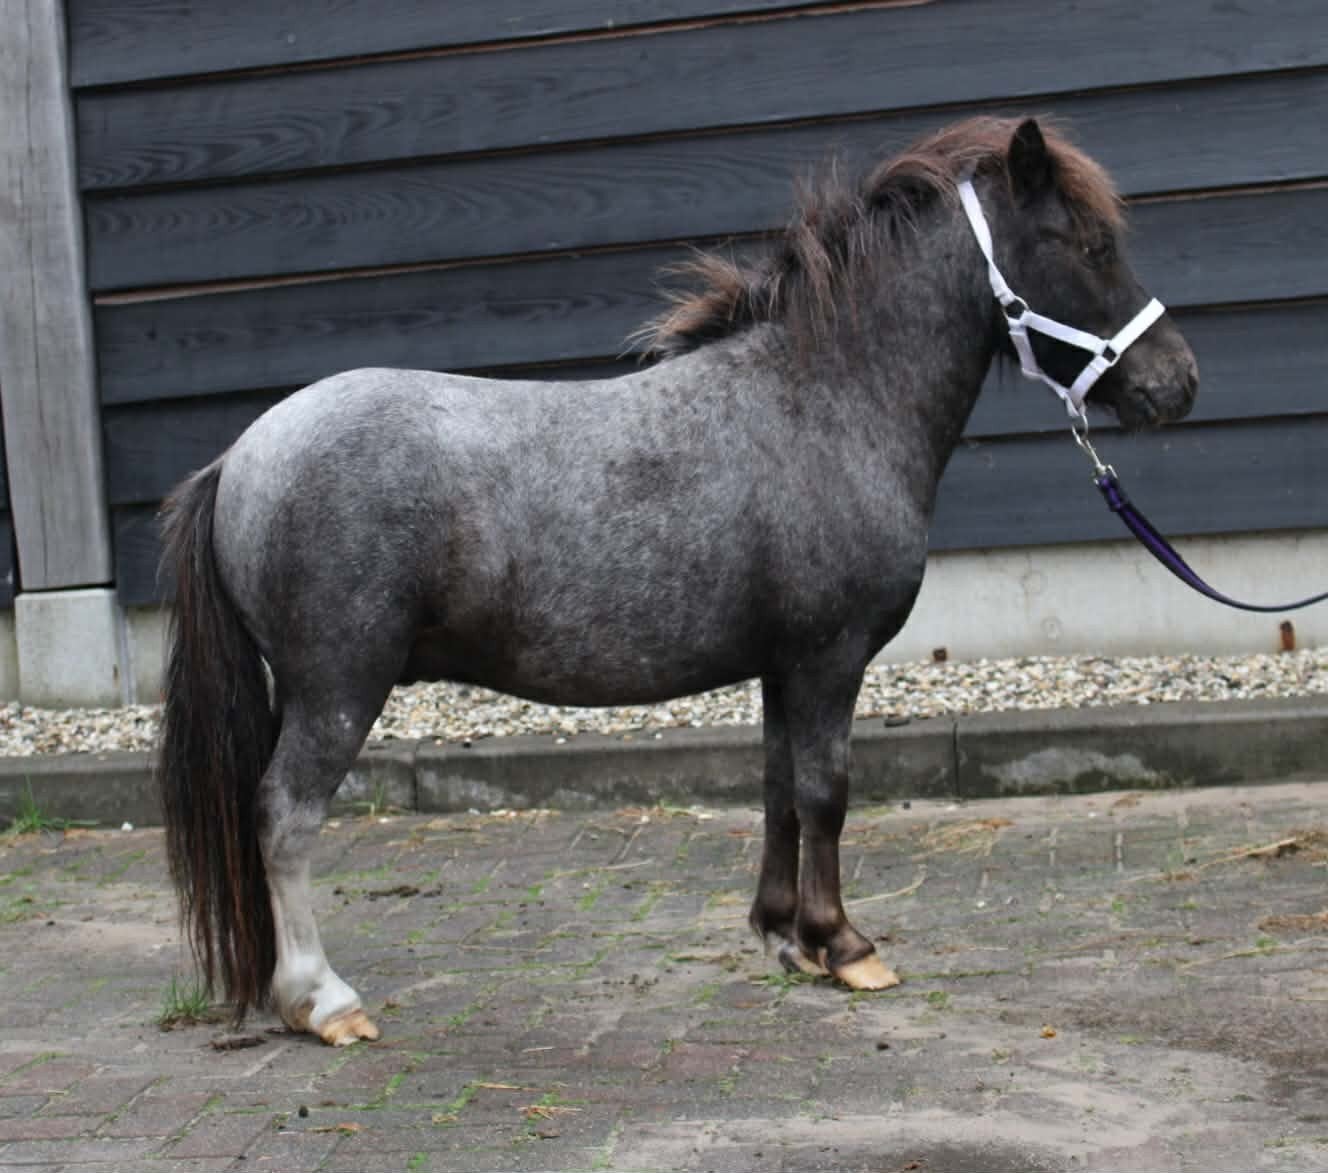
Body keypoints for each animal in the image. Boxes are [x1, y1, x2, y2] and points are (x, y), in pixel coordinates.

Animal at [158, 116, 1198, 1046]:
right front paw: (846, 945)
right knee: (284, 817)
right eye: (1090, 244)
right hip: (339, 688)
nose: (1177, 383)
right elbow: (828, 791)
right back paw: (324, 1001)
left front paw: (786, 936)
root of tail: (241, 457)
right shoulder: (829, 661)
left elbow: (780, 787)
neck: (823, 399)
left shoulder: (784, 667)